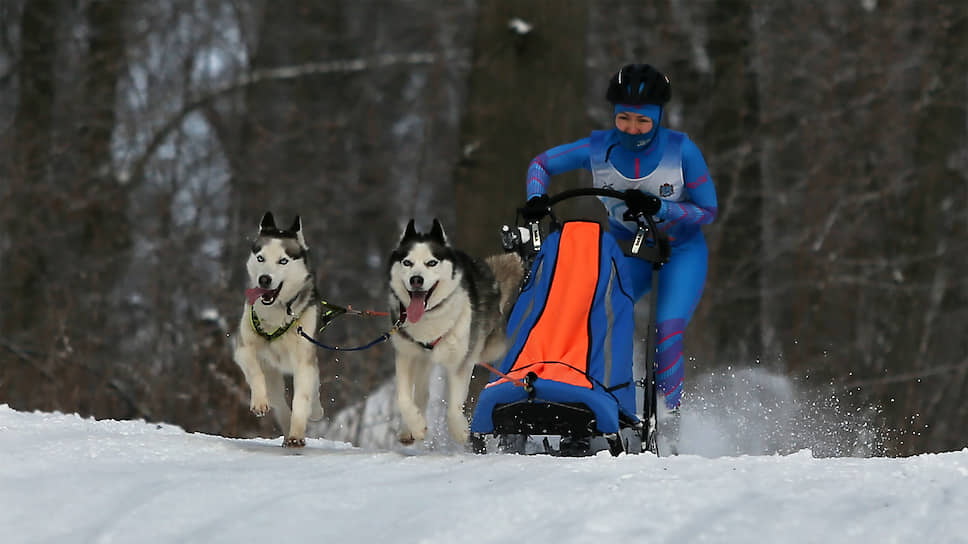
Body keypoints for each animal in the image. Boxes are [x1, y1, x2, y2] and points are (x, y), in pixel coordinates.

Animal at [233, 211, 326, 446]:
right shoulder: (243, 348)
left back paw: (314, 412)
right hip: (273, 375)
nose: (264, 279)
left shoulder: (304, 360)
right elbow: (255, 370)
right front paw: (259, 402)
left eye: (283, 260)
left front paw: (297, 434)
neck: (276, 315)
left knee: (313, 389)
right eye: (261, 258)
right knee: (279, 402)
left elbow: (301, 398)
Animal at [390, 219, 520, 448]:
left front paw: (459, 431)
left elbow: (455, 404)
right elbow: (404, 398)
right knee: (421, 393)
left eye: (431, 263)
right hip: (423, 360)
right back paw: (410, 428)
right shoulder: (406, 353)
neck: (430, 318)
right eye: (407, 263)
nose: (416, 279)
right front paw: (416, 425)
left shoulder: (462, 360)